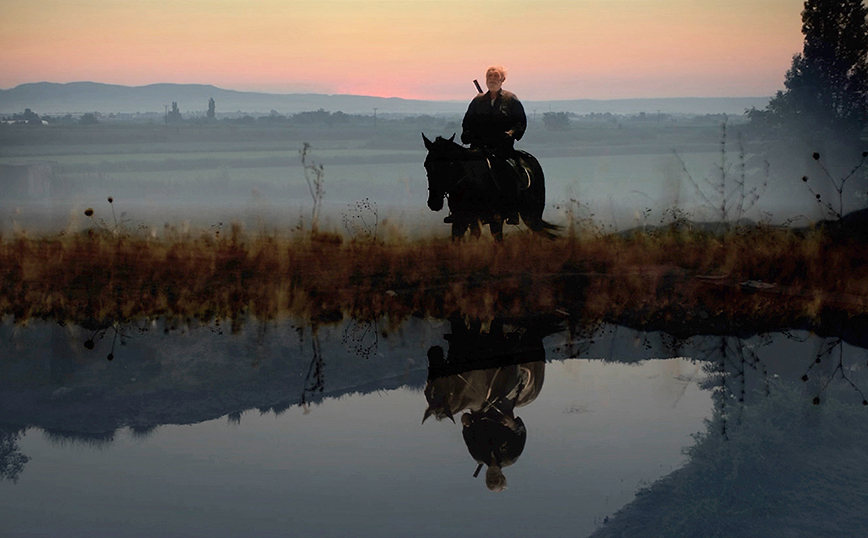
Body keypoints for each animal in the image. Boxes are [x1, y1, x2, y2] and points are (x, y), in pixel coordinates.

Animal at [424, 134, 560, 241]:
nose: (434, 202)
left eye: (450, 163)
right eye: (426, 165)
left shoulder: (495, 219)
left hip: (533, 213)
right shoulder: (461, 220)